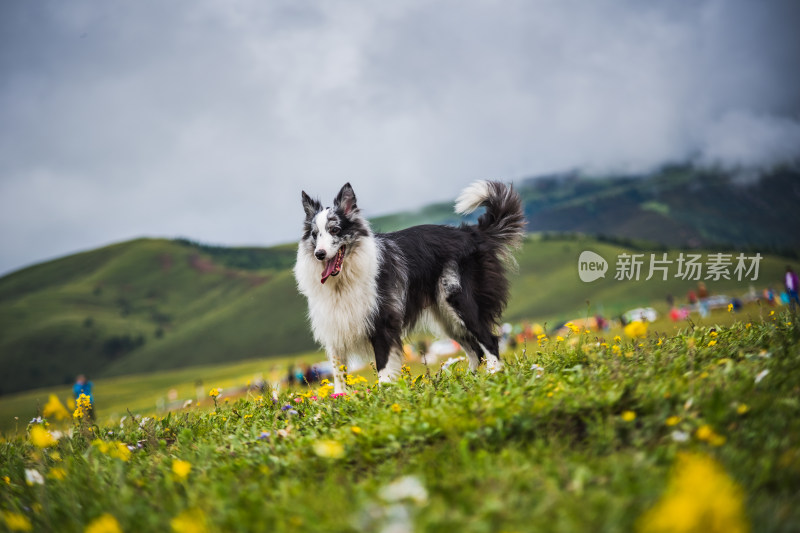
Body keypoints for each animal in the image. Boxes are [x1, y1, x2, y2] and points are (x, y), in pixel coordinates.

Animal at [294, 181, 524, 392]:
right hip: (446, 316)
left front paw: (384, 394)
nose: (319, 254)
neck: (342, 279)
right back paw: (464, 381)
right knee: (476, 350)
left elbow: (384, 367)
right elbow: (338, 372)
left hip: (460, 302)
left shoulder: (382, 322)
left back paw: (494, 374)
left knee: (489, 340)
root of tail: (471, 233)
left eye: (335, 230)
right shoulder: (334, 325)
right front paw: (340, 398)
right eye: (315, 234)